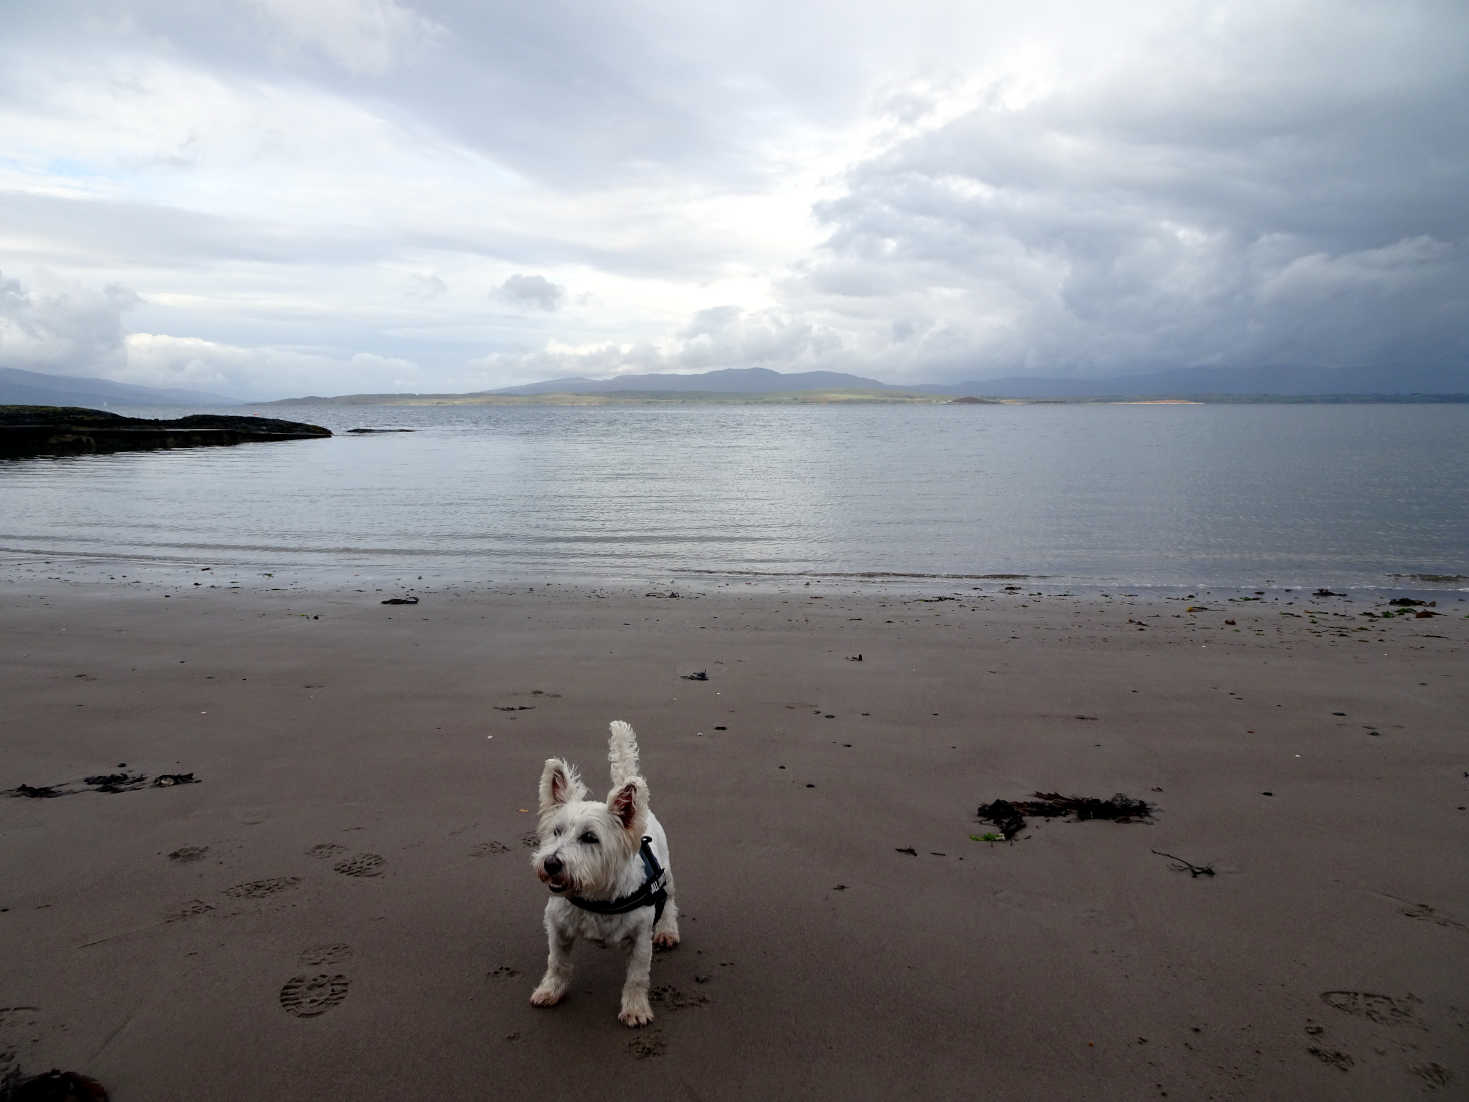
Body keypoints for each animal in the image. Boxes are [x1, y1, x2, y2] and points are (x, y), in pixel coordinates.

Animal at [531, 725, 678, 1028]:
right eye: (556, 831)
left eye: (590, 837)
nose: (550, 864)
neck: (596, 896)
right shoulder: (557, 926)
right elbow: (557, 963)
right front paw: (550, 990)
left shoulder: (641, 938)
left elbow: (636, 976)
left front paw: (635, 1009)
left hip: (666, 873)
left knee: (670, 900)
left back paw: (668, 930)